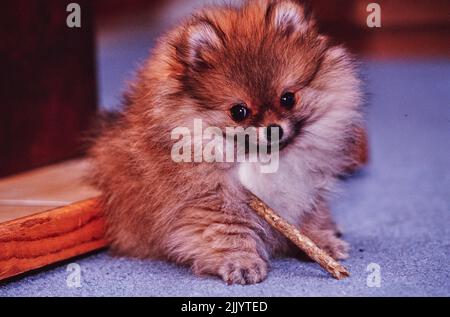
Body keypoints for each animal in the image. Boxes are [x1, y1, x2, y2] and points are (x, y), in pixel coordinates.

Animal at [90, 0, 366, 282]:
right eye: (239, 111)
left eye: (288, 98)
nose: (274, 129)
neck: (265, 158)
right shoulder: (212, 202)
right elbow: (229, 234)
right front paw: (242, 263)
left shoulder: (307, 188)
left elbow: (310, 218)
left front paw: (321, 242)